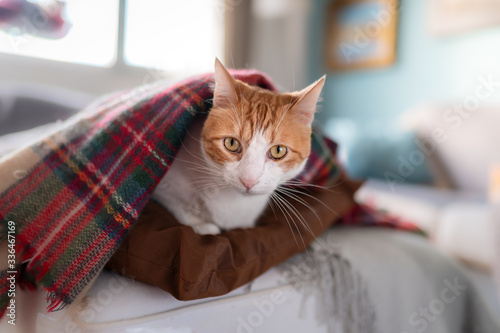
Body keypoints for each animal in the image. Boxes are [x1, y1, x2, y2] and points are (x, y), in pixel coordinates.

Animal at [151, 58, 324, 233]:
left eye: (278, 151)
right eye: (231, 143)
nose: (248, 181)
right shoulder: (164, 186)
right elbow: (179, 206)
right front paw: (201, 225)